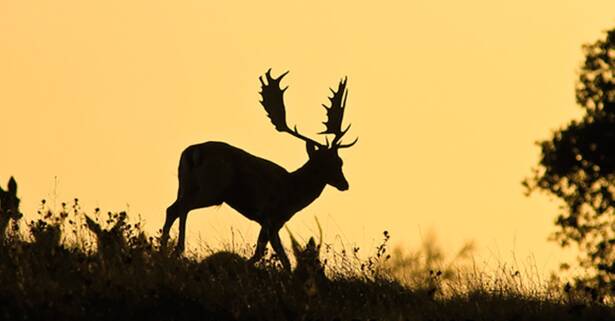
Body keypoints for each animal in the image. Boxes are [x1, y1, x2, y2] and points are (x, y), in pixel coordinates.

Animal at [161, 69, 358, 268]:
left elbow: (261, 252)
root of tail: (193, 152)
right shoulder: (271, 217)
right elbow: (278, 256)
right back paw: (179, 250)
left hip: (185, 184)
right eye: (324, 165)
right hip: (212, 188)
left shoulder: (267, 221)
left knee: (172, 208)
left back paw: (164, 250)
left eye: (340, 161)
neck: (293, 192)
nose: (345, 184)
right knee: (183, 207)